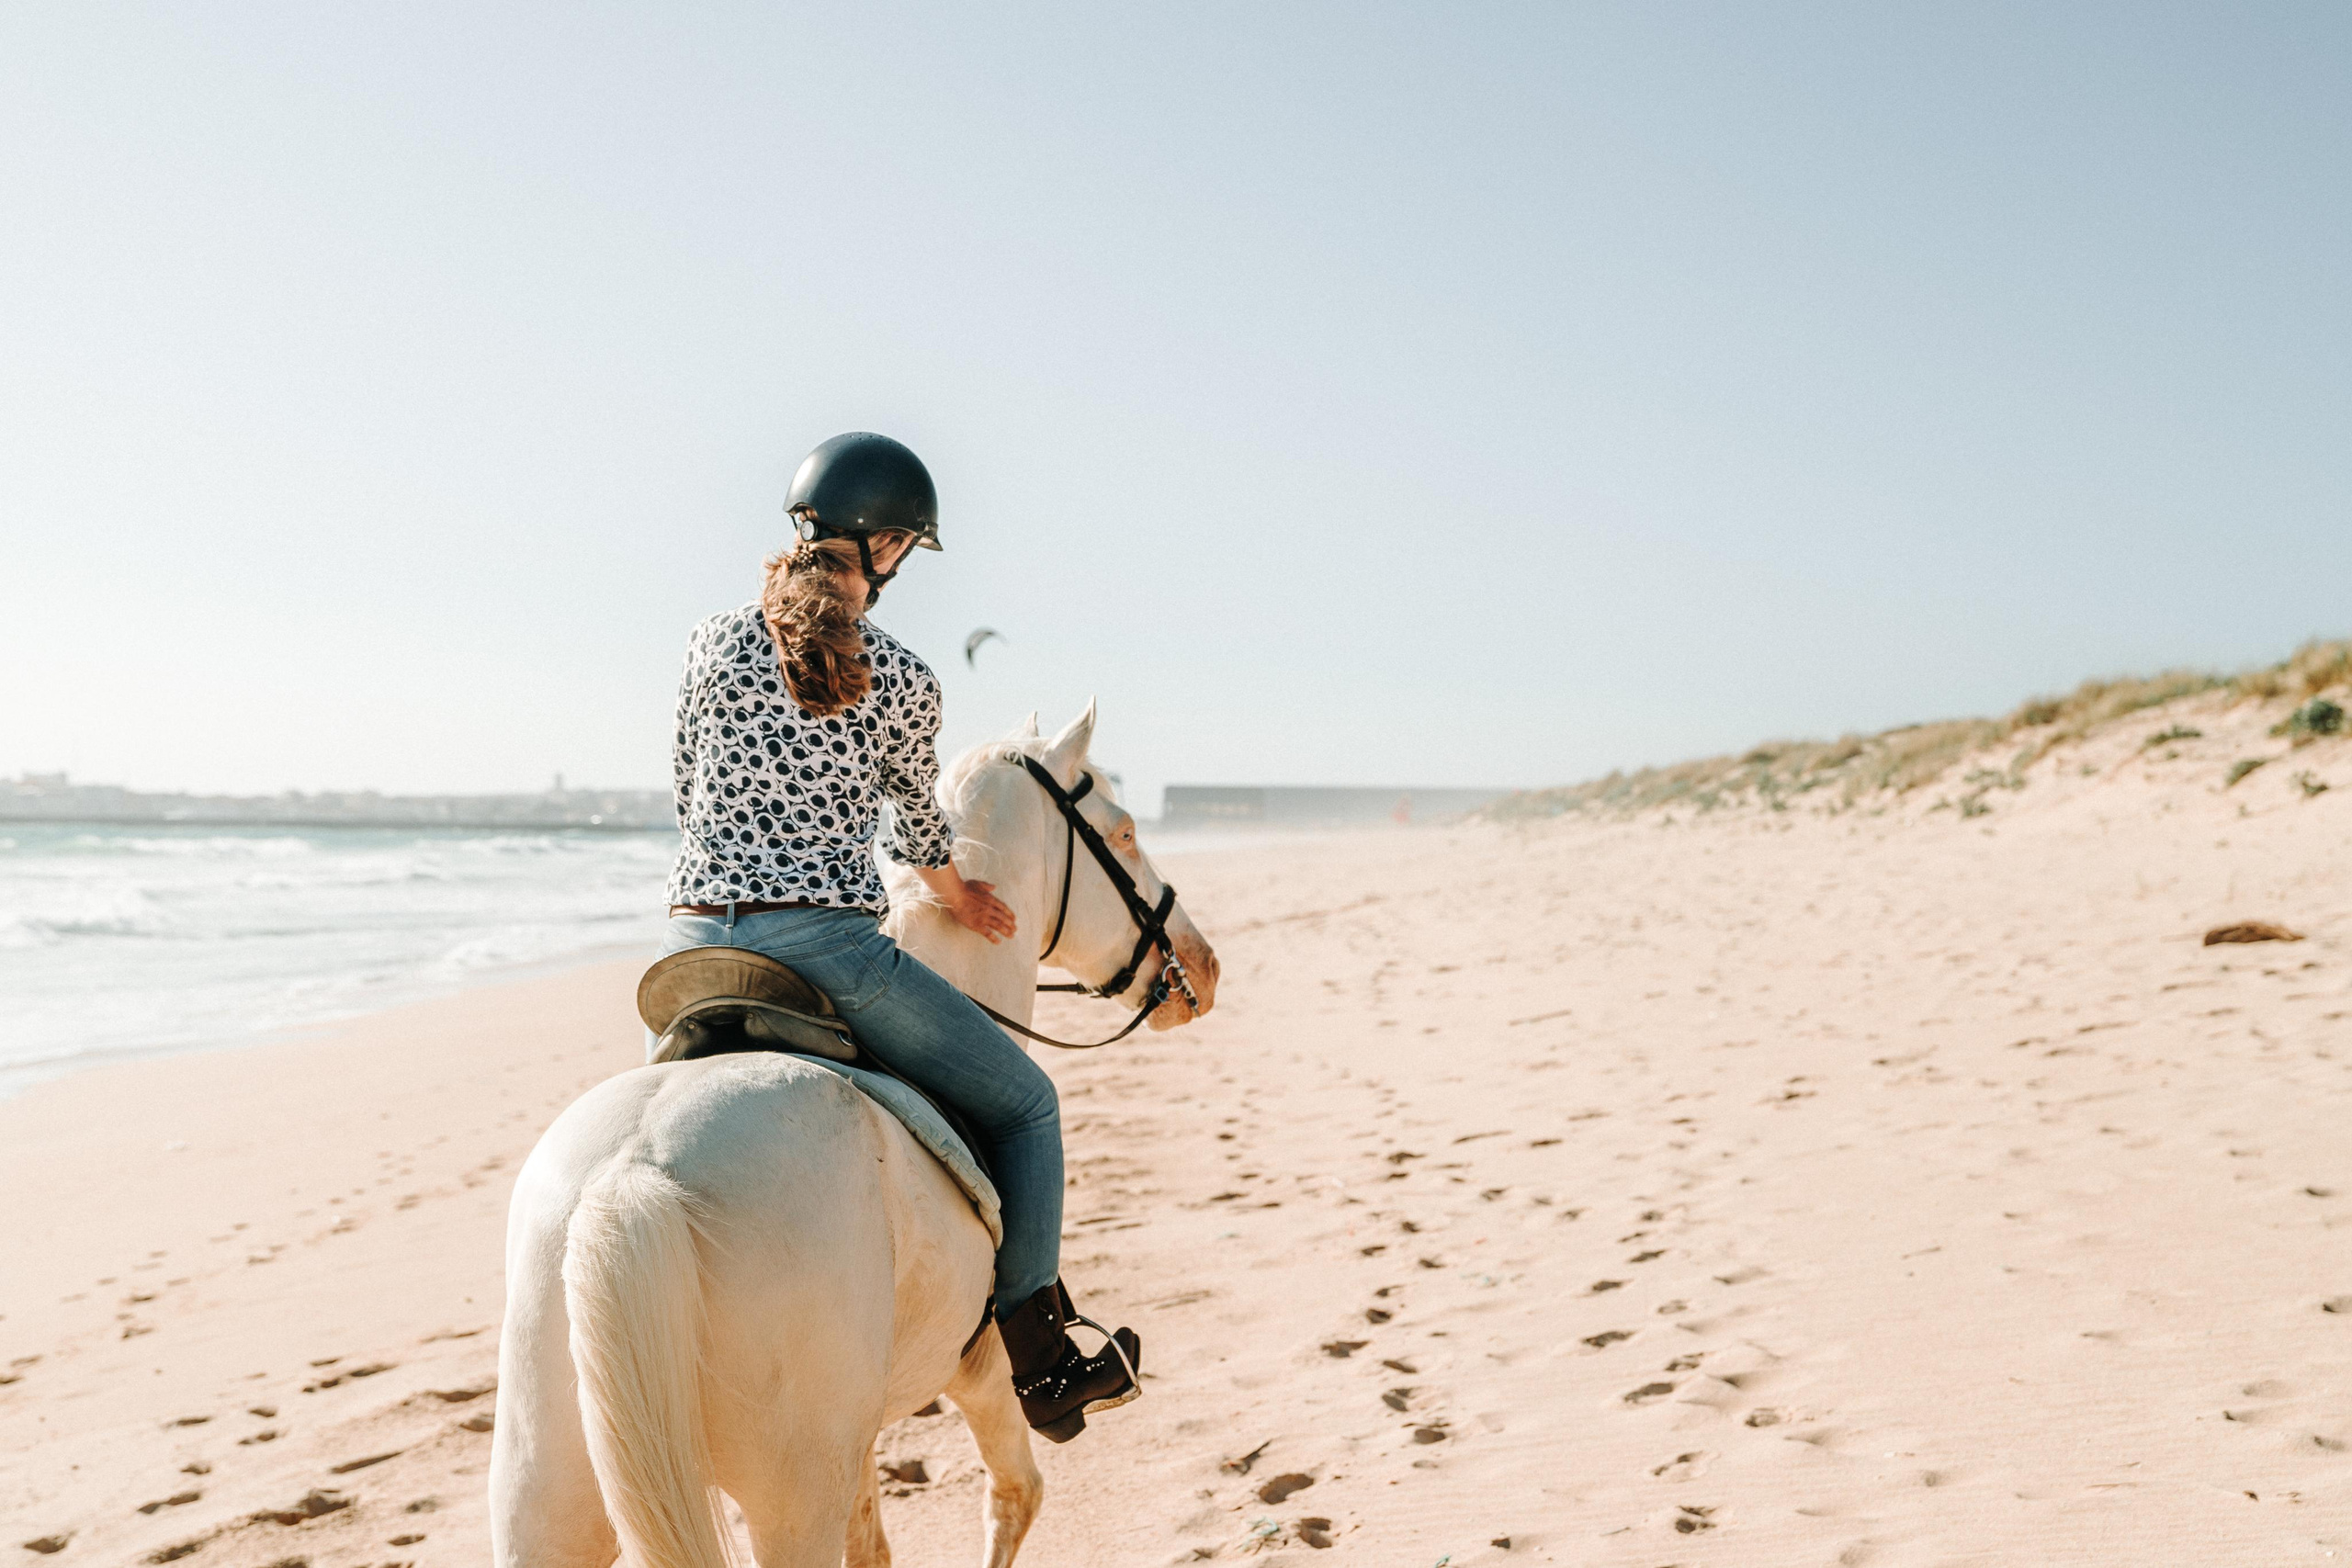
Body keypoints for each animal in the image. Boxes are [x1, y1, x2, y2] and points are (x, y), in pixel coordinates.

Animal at [488, 704, 1219, 1568]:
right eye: (1127, 832)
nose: (1202, 966)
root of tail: (629, 1175)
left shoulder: (857, 1443)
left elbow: (873, 1545)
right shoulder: (981, 1374)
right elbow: (1015, 1497)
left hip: (547, 1503)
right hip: (791, 1498)